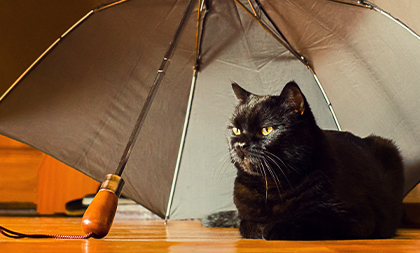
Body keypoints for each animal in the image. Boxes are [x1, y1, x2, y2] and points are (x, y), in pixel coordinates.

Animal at [203, 82, 404, 240]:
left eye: (266, 130)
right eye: (236, 130)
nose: (240, 145)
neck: (271, 185)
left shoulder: (359, 218)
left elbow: (306, 221)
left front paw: (273, 227)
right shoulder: (246, 216)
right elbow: (246, 224)